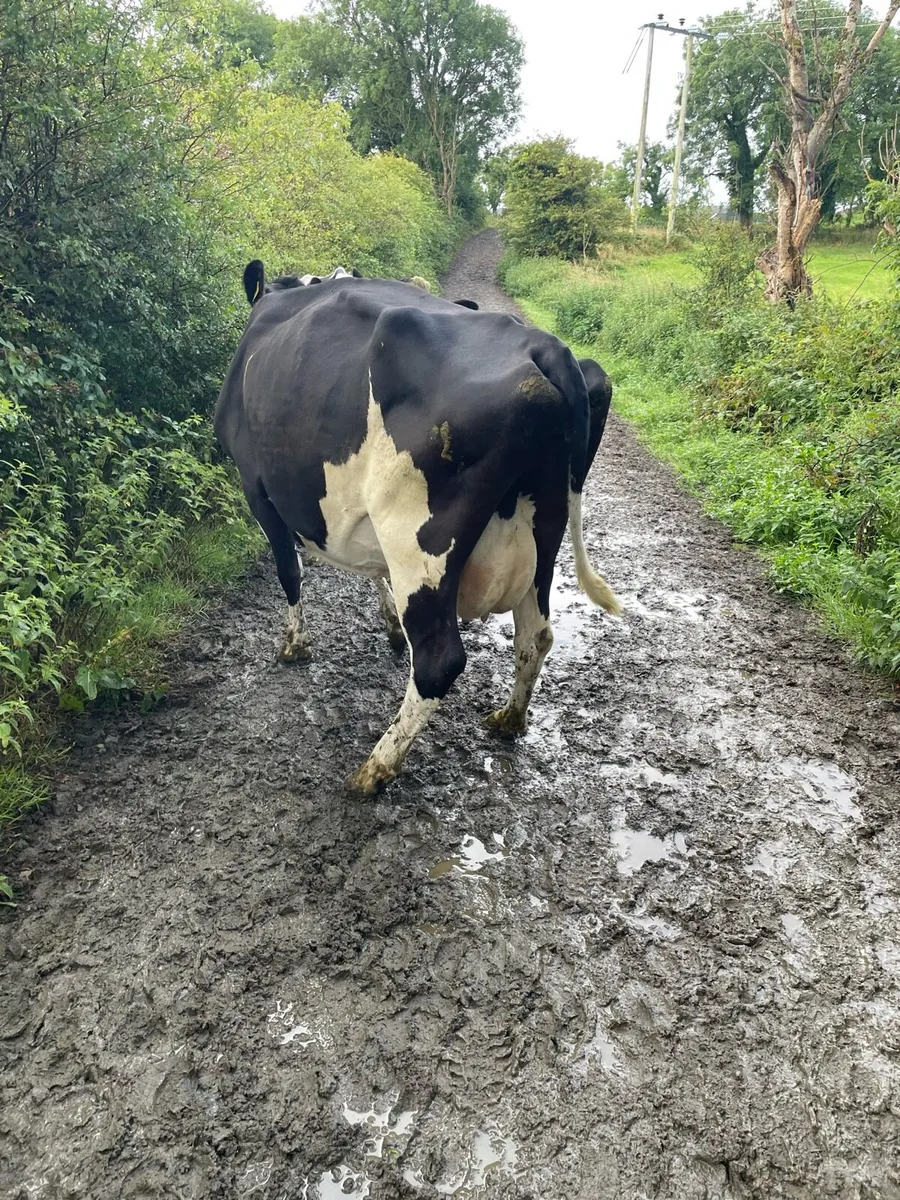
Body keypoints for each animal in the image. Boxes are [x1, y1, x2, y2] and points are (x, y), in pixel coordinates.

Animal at [214, 260, 621, 794]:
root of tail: (545, 347)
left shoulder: (256, 488)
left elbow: (289, 573)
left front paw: (294, 646)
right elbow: (371, 572)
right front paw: (388, 624)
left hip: (418, 537)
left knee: (439, 659)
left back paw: (375, 768)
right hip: (544, 534)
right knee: (535, 635)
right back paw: (508, 720)